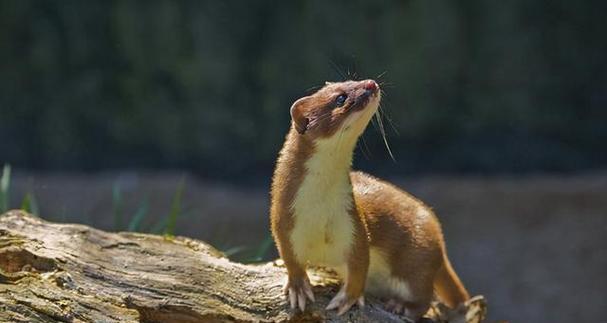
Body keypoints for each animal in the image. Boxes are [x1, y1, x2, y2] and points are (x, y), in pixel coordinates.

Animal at [270, 79, 470, 322]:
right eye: (340, 97)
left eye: (353, 78)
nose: (371, 83)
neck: (319, 210)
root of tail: (437, 234)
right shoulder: (284, 223)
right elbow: (290, 259)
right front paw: (298, 288)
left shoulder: (353, 226)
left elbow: (359, 266)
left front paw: (347, 299)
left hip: (416, 260)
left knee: (424, 297)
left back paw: (400, 305)